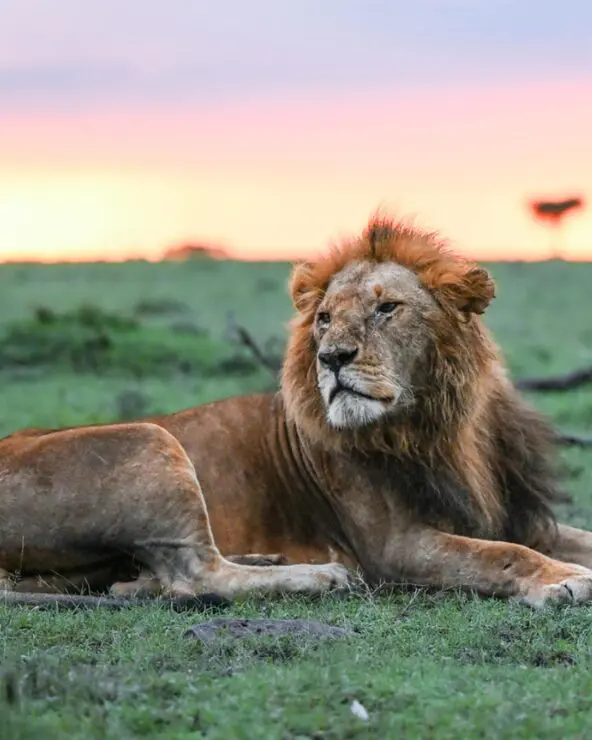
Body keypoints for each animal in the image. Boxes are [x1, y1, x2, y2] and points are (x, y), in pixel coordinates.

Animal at [2, 214, 592, 609]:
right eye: (325, 318)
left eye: (387, 308)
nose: (331, 358)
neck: (445, 431)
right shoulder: (393, 547)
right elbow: (503, 554)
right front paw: (563, 580)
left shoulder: (521, 514)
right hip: (150, 439)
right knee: (195, 576)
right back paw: (320, 576)